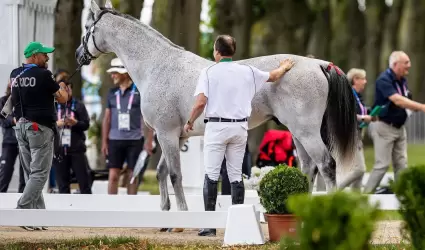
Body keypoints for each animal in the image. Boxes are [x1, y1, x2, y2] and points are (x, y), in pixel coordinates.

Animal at [77, 0, 358, 219]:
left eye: (86, 28)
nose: (80, 55)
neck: (158, 65)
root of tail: (319, 64)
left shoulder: (166, 134)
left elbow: (175, 175)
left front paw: (182, 214)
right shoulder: (178, 135)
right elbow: (161, 172)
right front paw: (165, 213)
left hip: (306, 131)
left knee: (326, 165)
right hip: (298, 132)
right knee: (308, 168)